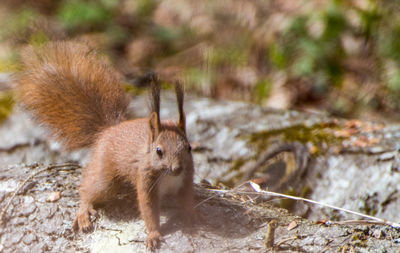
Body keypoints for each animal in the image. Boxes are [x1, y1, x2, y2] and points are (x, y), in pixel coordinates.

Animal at [17, 40, 195, 250]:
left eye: (189, 148)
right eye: (159, 151)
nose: (177, 168)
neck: (167, 175)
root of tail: (109, 130)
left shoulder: (186, 178)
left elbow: (186, 199)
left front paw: (190, 215)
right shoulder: (145, 180)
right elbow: (148, 210)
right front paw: (153, 234)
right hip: (106, 178)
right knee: (88, 188)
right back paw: (84, 211)